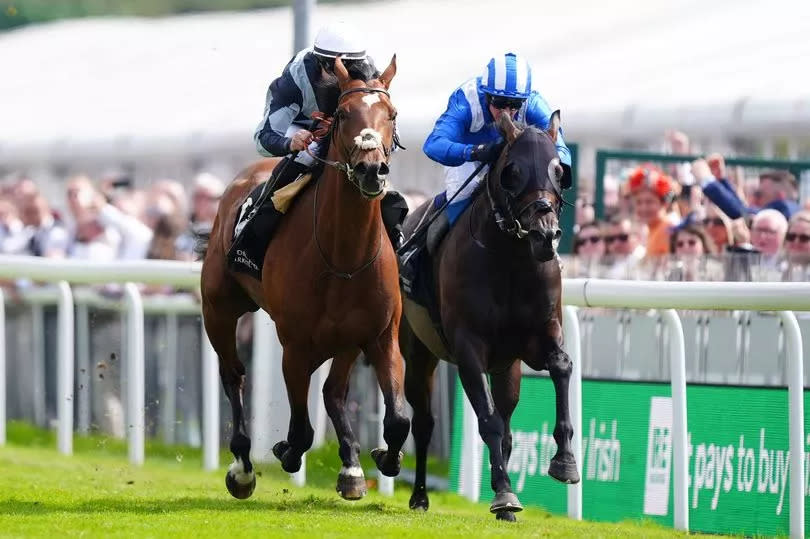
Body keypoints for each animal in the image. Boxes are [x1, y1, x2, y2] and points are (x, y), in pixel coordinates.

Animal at [199, 56, 408, 502]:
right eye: (343, 114)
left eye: (392, 114)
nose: (371, 170)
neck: (344, 257)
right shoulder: (294, 344)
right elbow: (301, 430)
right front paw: (284, 451)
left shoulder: (381, 335)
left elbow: (398, 417)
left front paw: (384, 457)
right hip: (218, 309)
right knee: (233, 375)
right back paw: (242, 466)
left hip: (347, 341)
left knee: (333, 392)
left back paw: (351, 466)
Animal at [400, 112, 576, 520]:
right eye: (513, 171)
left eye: (560, 170)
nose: (545, 235)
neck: (511, 259)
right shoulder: (468, 347)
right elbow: (489, 421)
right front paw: (505, 495)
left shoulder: (541, 333)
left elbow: (561, 365)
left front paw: (565, 461)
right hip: (417, 351)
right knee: (424, 421)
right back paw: (420, 496)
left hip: (506, 367)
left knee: (508, 421)